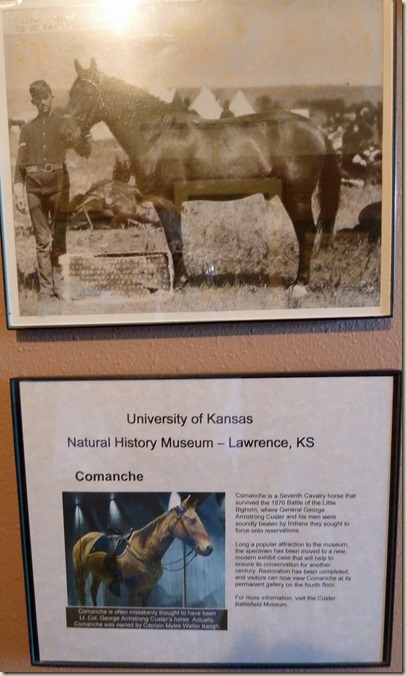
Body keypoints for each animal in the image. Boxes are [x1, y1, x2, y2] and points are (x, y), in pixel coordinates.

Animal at [64, 56, 342, 292]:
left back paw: (300, 284)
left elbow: (174, 240)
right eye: (70, 93)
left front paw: (181, 283)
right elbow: (173, 239)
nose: (68, 133)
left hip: (297, 196)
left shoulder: (167, 201)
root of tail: (316, 129)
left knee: (306, 233)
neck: (156, 134)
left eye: (87, 94)